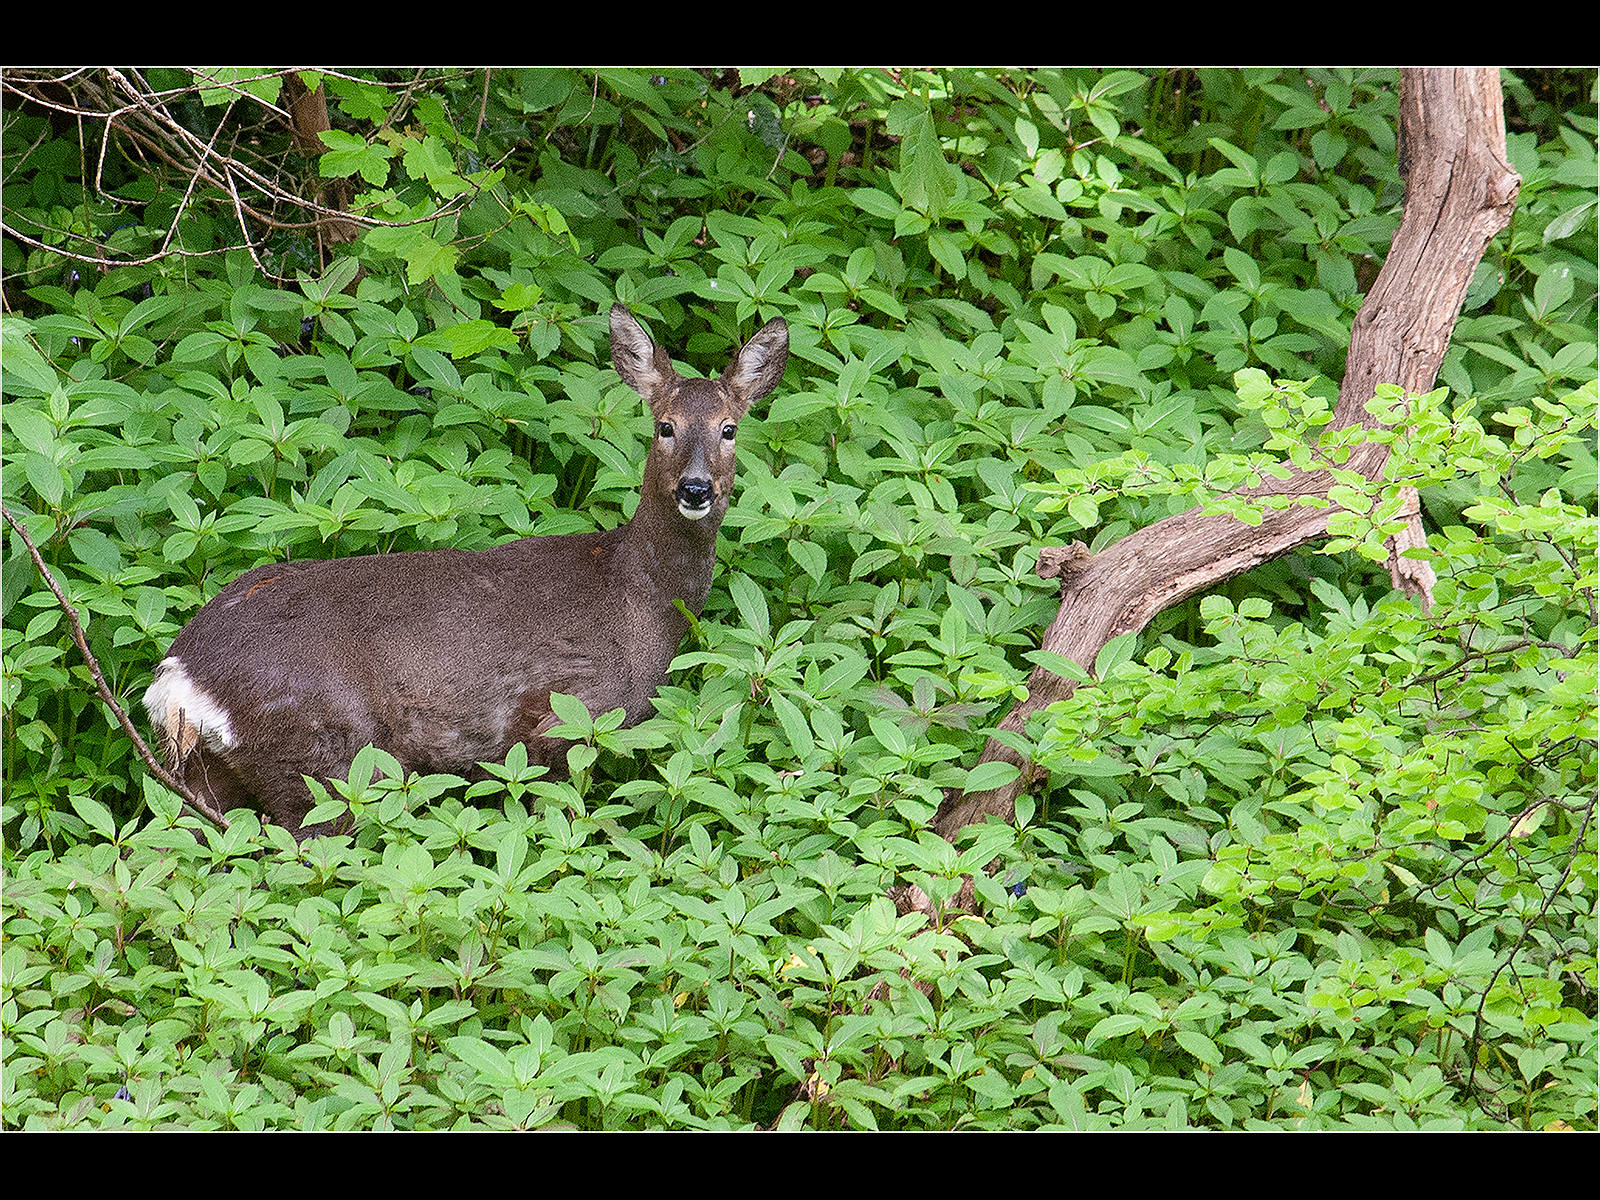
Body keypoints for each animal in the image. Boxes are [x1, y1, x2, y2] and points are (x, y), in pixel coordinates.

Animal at [142, 304, 789, 835]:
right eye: (664, 425)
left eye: (730, 429)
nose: (696, 488)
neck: (639, 600)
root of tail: (179, 680)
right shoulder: (562, 721)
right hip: (320, 761)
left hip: (211, 778)